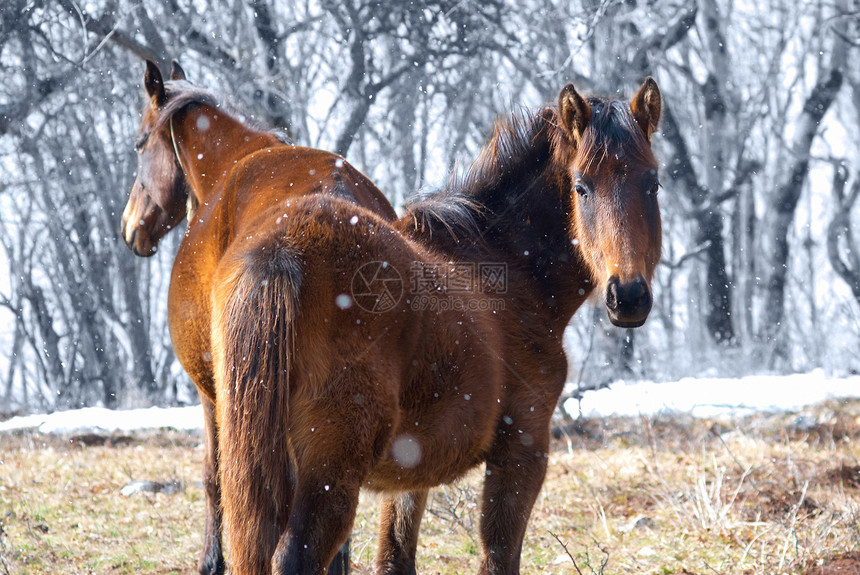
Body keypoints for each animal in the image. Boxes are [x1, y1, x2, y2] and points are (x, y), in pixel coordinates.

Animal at [210, 79, 664, 572]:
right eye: (581, 188)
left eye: (653, 183)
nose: (629, 295)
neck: (503, 264)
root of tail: (283, 249)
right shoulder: (522, 450)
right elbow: (498, 557)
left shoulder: (411, 471)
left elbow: (395, 557)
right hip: (331, 472)